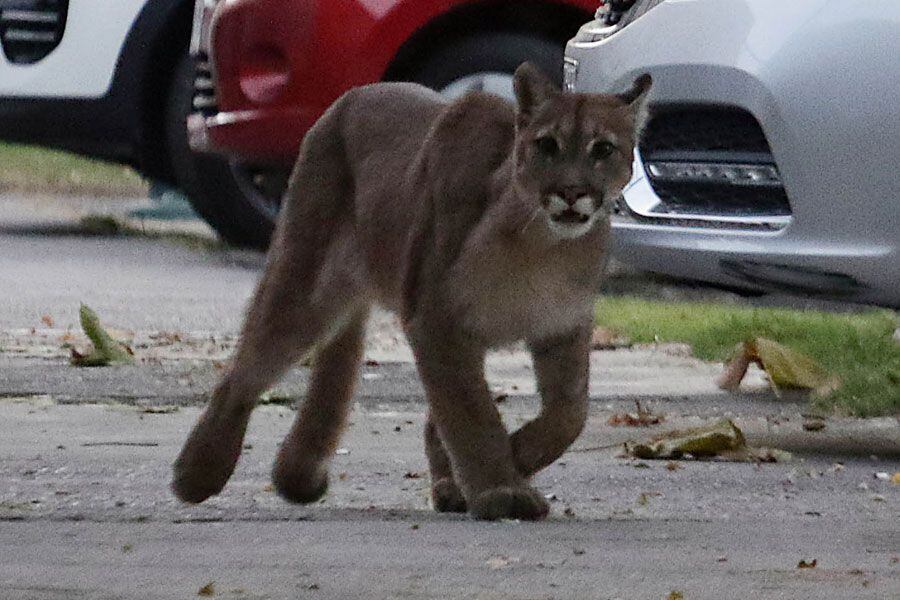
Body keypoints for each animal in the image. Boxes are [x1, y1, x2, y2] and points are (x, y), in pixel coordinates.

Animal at [172, 64, 652, 520]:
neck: (543, 245)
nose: (571, 192)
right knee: (243, 371)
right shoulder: (436, 319)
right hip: (308, 285)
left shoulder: (561, 326)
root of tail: (350, 97)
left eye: (602, 149)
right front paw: (501, 488)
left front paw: (495, 470)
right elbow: (472, 413)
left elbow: (568, 415)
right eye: (547, 145)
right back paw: (197, 472)